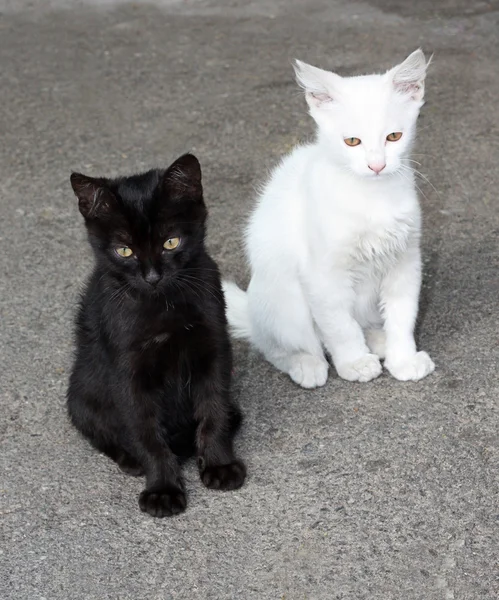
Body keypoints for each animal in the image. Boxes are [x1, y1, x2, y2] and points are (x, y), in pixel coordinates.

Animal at [66, 154, 246, 516]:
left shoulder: (214, 348)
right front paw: (163, 488)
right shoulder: (128, 373)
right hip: (79, 396)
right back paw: (132, 460)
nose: (152, 276)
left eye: (170, 242)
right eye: (124, 250)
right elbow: (145, 431)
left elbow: (214, 407)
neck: (163, 305)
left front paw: (219, 464)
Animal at [225, 51, 436, 390]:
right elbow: (340, 326)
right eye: (352, 141)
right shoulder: (322, 275)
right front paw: (354, 363)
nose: (376, 165)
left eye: (393, 137)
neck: (372, 197)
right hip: (286, 305)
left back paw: (377, 340)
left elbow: (403, 316)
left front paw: (402, 359)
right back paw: (307, 364)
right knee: (278, 347)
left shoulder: (405, 261)